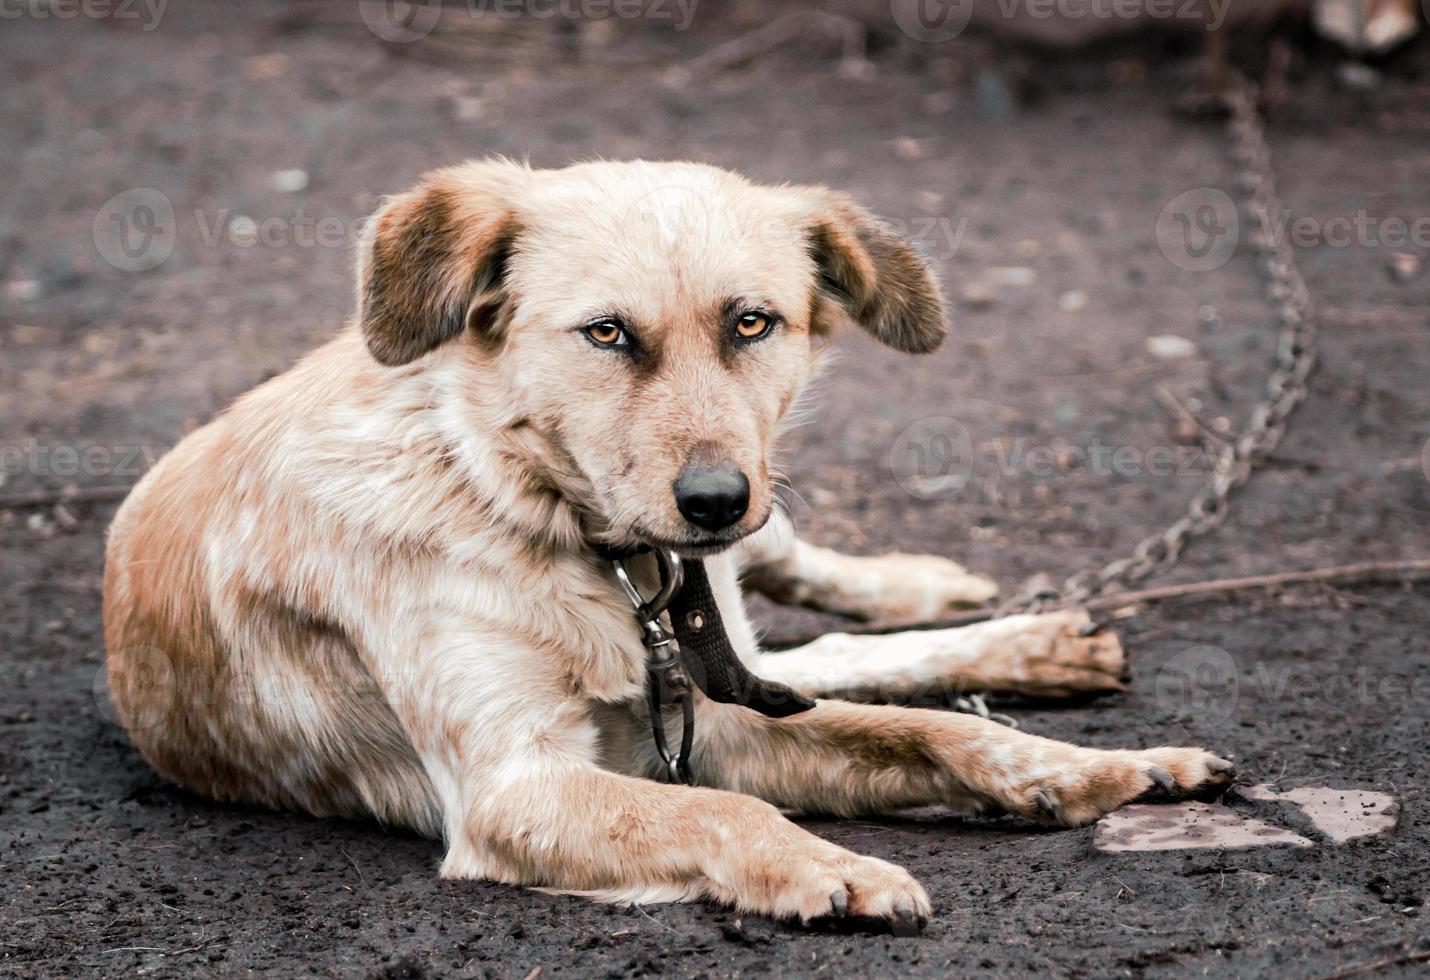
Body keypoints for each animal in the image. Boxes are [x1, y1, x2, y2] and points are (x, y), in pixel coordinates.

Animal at [105, 158, 1235, 927]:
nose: (714, 500)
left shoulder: (711, 711)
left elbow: (929, 734)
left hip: (765, 551)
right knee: (812, 655)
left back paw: (977, 615)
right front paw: (832, 866)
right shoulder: (523, 783)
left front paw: (1094, 766)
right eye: (606, 333)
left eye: (752, 322)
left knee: (816, 615)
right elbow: (727, 813)